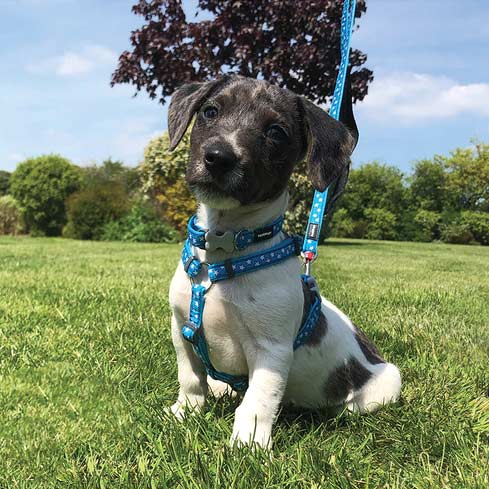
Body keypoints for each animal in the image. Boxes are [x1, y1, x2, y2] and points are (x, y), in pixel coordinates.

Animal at [168, 75, 400, 446]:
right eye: (210, 111)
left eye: (276, 132)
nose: (218, 157)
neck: (225, 250)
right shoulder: (182, 328)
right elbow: (190, 376)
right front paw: (185, 412)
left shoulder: (271, 349)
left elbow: (259, 399)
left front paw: (248, 443)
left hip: (387, 383)